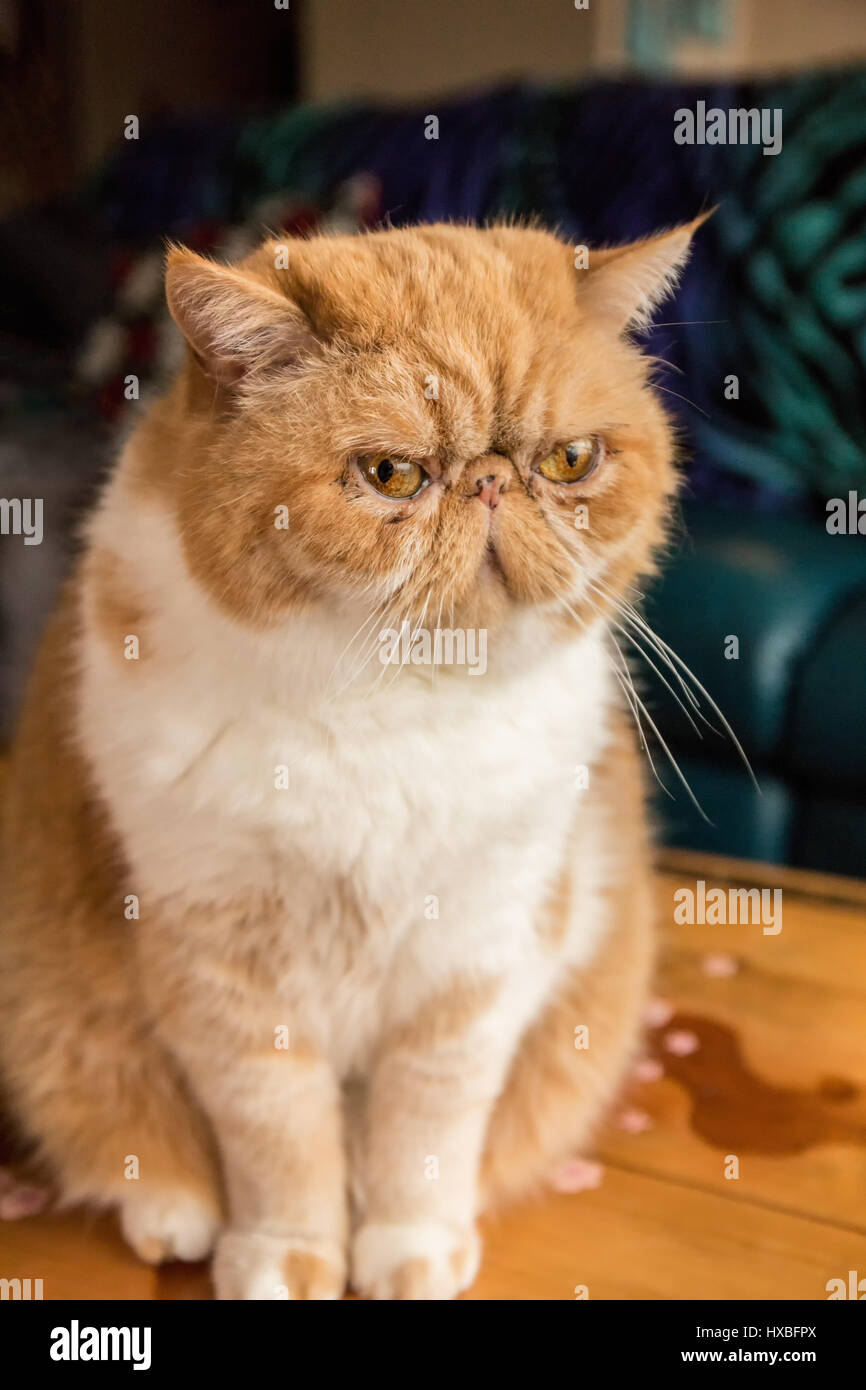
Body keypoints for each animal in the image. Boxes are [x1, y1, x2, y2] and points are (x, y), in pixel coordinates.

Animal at [0, 216, 706, 1289]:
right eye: (392, 476)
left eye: (571, 460)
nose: (492, 480)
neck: (393, 714)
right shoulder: (223, 966)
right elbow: (279, 1136)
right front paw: (286, 1259)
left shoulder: (479, 955)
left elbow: (426, 1126)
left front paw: (408, 1248)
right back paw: (171, 1211)